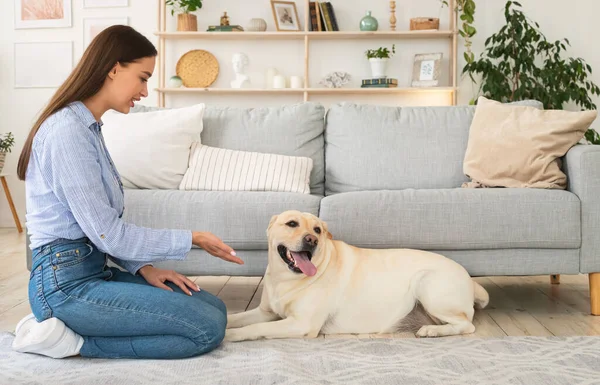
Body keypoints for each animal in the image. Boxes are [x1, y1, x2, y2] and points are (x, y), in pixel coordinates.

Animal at [225, 208, 488, 340]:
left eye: (317, 230)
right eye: (291, 224)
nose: (312, 240)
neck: (286, 279)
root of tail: (468, 277)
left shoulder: (301, 324)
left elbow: (255, 329)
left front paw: (231, 336)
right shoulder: (265, 312)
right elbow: (234, 317)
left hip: (427, 284)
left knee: (466, 326)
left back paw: (432, 331)